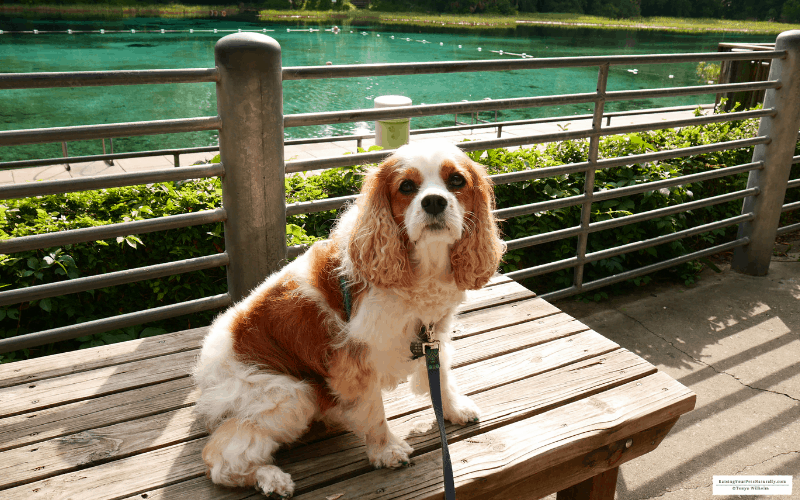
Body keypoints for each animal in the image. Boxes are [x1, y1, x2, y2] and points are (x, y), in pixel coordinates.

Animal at [195, 141, 506, 496]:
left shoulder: (432, 334)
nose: (434, 201)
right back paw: (270, 478)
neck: (422, 267)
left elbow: (438, 378)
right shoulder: (354, 361)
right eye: (406, 187)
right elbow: (374, 410)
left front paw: (454, 410)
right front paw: (387, 450)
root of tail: (203, 378)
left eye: (456, 181)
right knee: (220, 460)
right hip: (290, 396)